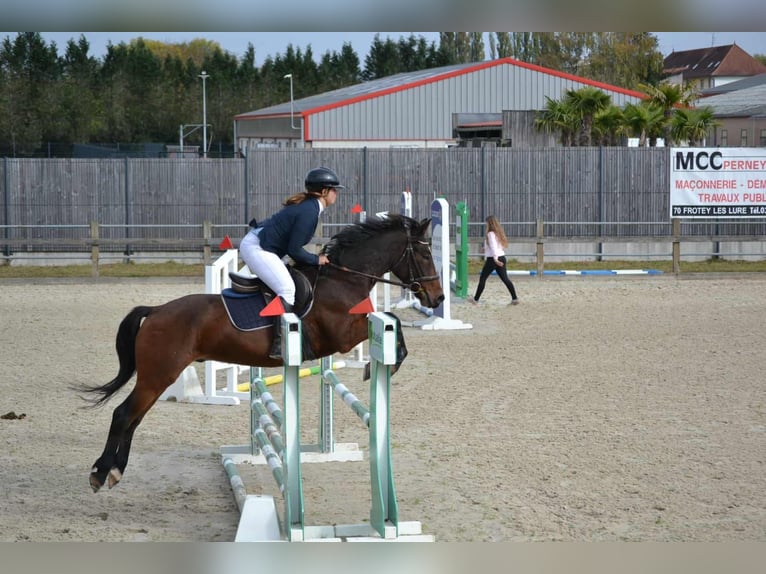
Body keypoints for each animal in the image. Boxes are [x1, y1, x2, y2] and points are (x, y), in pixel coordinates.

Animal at [79, 214, 445, 493]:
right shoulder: (342, 336)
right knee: (124, 415)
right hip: (157, 376)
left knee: (134, 418)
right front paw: (381, 367)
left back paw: (114, 472)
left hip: (157, 378)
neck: (344, 279)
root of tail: (155, 311)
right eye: (425, 255)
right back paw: (100, 472)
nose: (437, 298)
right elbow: (394, 321)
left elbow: (392, 321)